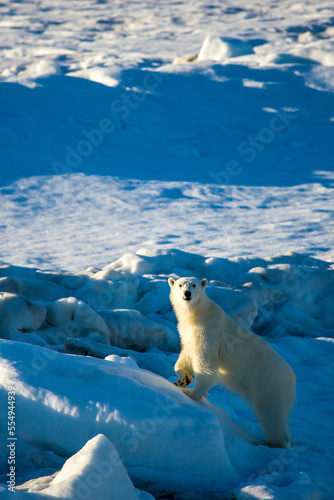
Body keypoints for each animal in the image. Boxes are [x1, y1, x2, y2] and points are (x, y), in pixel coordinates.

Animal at [168, 276, 296, 448]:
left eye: (193, 285)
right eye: (180, 284)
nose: (187, 294)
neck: (198, 314)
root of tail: (292, 379)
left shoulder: (208, 332)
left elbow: (205, 361)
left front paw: (192, 393)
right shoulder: (188, 333)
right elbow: (187, 353)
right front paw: (182, 380)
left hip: (269, 383)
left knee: (271, 412)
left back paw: (271, 441)